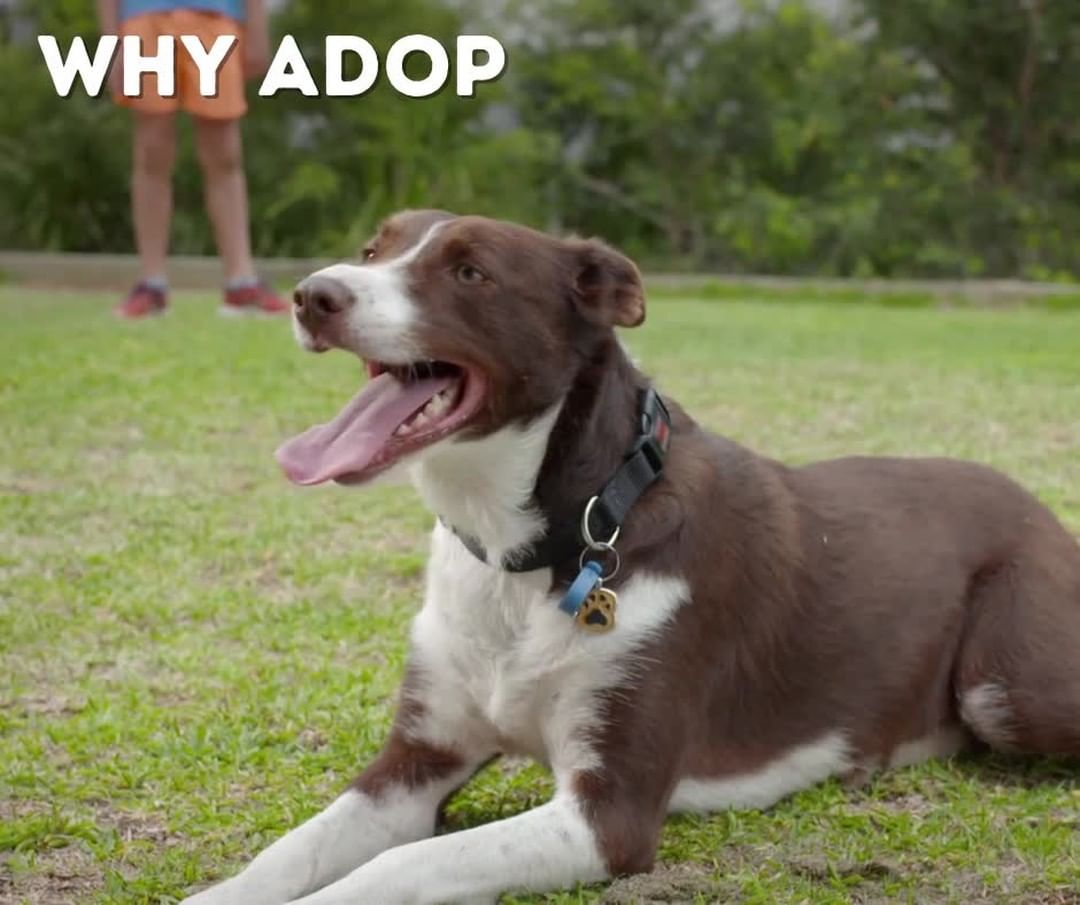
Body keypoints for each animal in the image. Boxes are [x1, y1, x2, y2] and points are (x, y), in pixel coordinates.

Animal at [183, 212, 1080, 905]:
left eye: (470, 272)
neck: (537, 548)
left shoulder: (608, 814)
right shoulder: (415, 760)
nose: (313, 293)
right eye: (374, 249)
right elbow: (289, 850)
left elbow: (400, 866)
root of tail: (1041, 508)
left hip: (1007, 685)